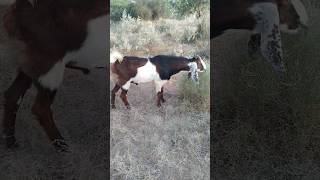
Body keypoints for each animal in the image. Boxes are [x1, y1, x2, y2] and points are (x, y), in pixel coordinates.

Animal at [1, 0, 109, 152]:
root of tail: (21, 7)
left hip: (32, 63)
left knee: (13, 95)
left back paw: (11, 142)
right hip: (49, 64)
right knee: (41, 108)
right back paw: (62, 146)